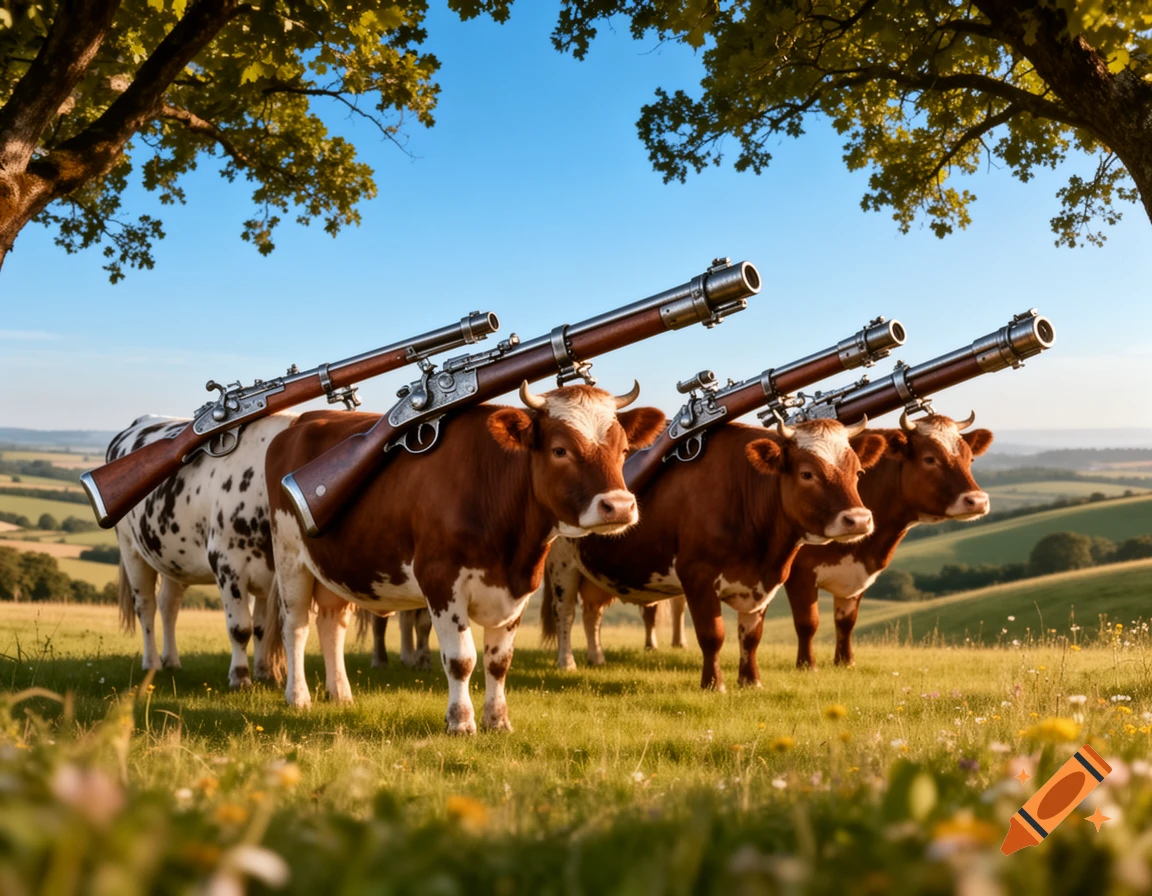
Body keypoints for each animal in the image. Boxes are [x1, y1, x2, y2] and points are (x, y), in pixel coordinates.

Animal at [107, 413, 297, 688]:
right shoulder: (227, 564)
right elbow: (241, 628)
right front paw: (240, 677)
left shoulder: (270, 572)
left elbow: (262, 627)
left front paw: (265, 673)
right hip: (131, 550)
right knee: (145, 606)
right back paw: (151, 663)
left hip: (173, 558)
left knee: (169, 605)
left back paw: (171, 661)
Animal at [262, 382, 666, 734]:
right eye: (560, 450)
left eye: (624, 450)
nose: (619, 506)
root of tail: (298, 424)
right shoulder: (441, 581)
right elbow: (461, 659)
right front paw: (460, 722)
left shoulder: (519, 588)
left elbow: (499, 661)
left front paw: (498, 721)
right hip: (290, 558)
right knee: (295, 626)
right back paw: (298, 697)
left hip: (333, 567)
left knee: (332, 625)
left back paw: (341, 694)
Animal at [542, 417, 886, 691]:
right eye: (807, 474)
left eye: (857, 472)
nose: (858, 520)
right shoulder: (698, 577)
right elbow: (712, 634)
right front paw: (713, 684)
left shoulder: (764, 583)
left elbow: (751, 636)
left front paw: (751, 681)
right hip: (562, 566)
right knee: (565, 613)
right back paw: (567, 662)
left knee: (592, 613)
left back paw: (596, 658)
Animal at [785, 412, 992, 668]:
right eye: (930, 458)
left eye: (970, 458)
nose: (978, 501)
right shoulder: (800, 573)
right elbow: (807, 623)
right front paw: (806, 665)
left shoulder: (857, 574)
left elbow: (846, 621)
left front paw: (845, 662)